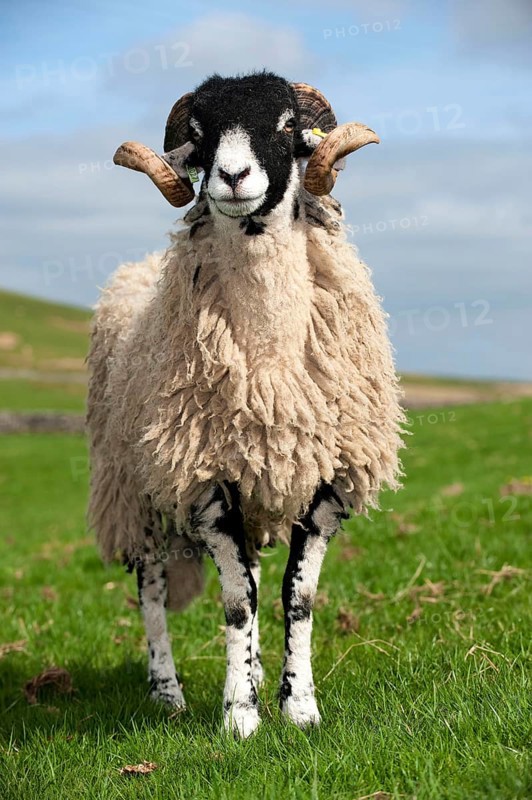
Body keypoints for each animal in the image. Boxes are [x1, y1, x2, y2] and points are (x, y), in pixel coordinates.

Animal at [87, 71, 404, 738]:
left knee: (254, 572)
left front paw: (298, 707)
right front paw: (240, 718)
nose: (232, 177)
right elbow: (237, 603)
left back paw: (254, 670)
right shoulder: (207, 481)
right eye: (200, 132)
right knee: (151, 587)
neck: (269, 362)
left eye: (286, 124)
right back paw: (167, 691)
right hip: (136, 487)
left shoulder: (325, 482)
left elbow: (295, 597)